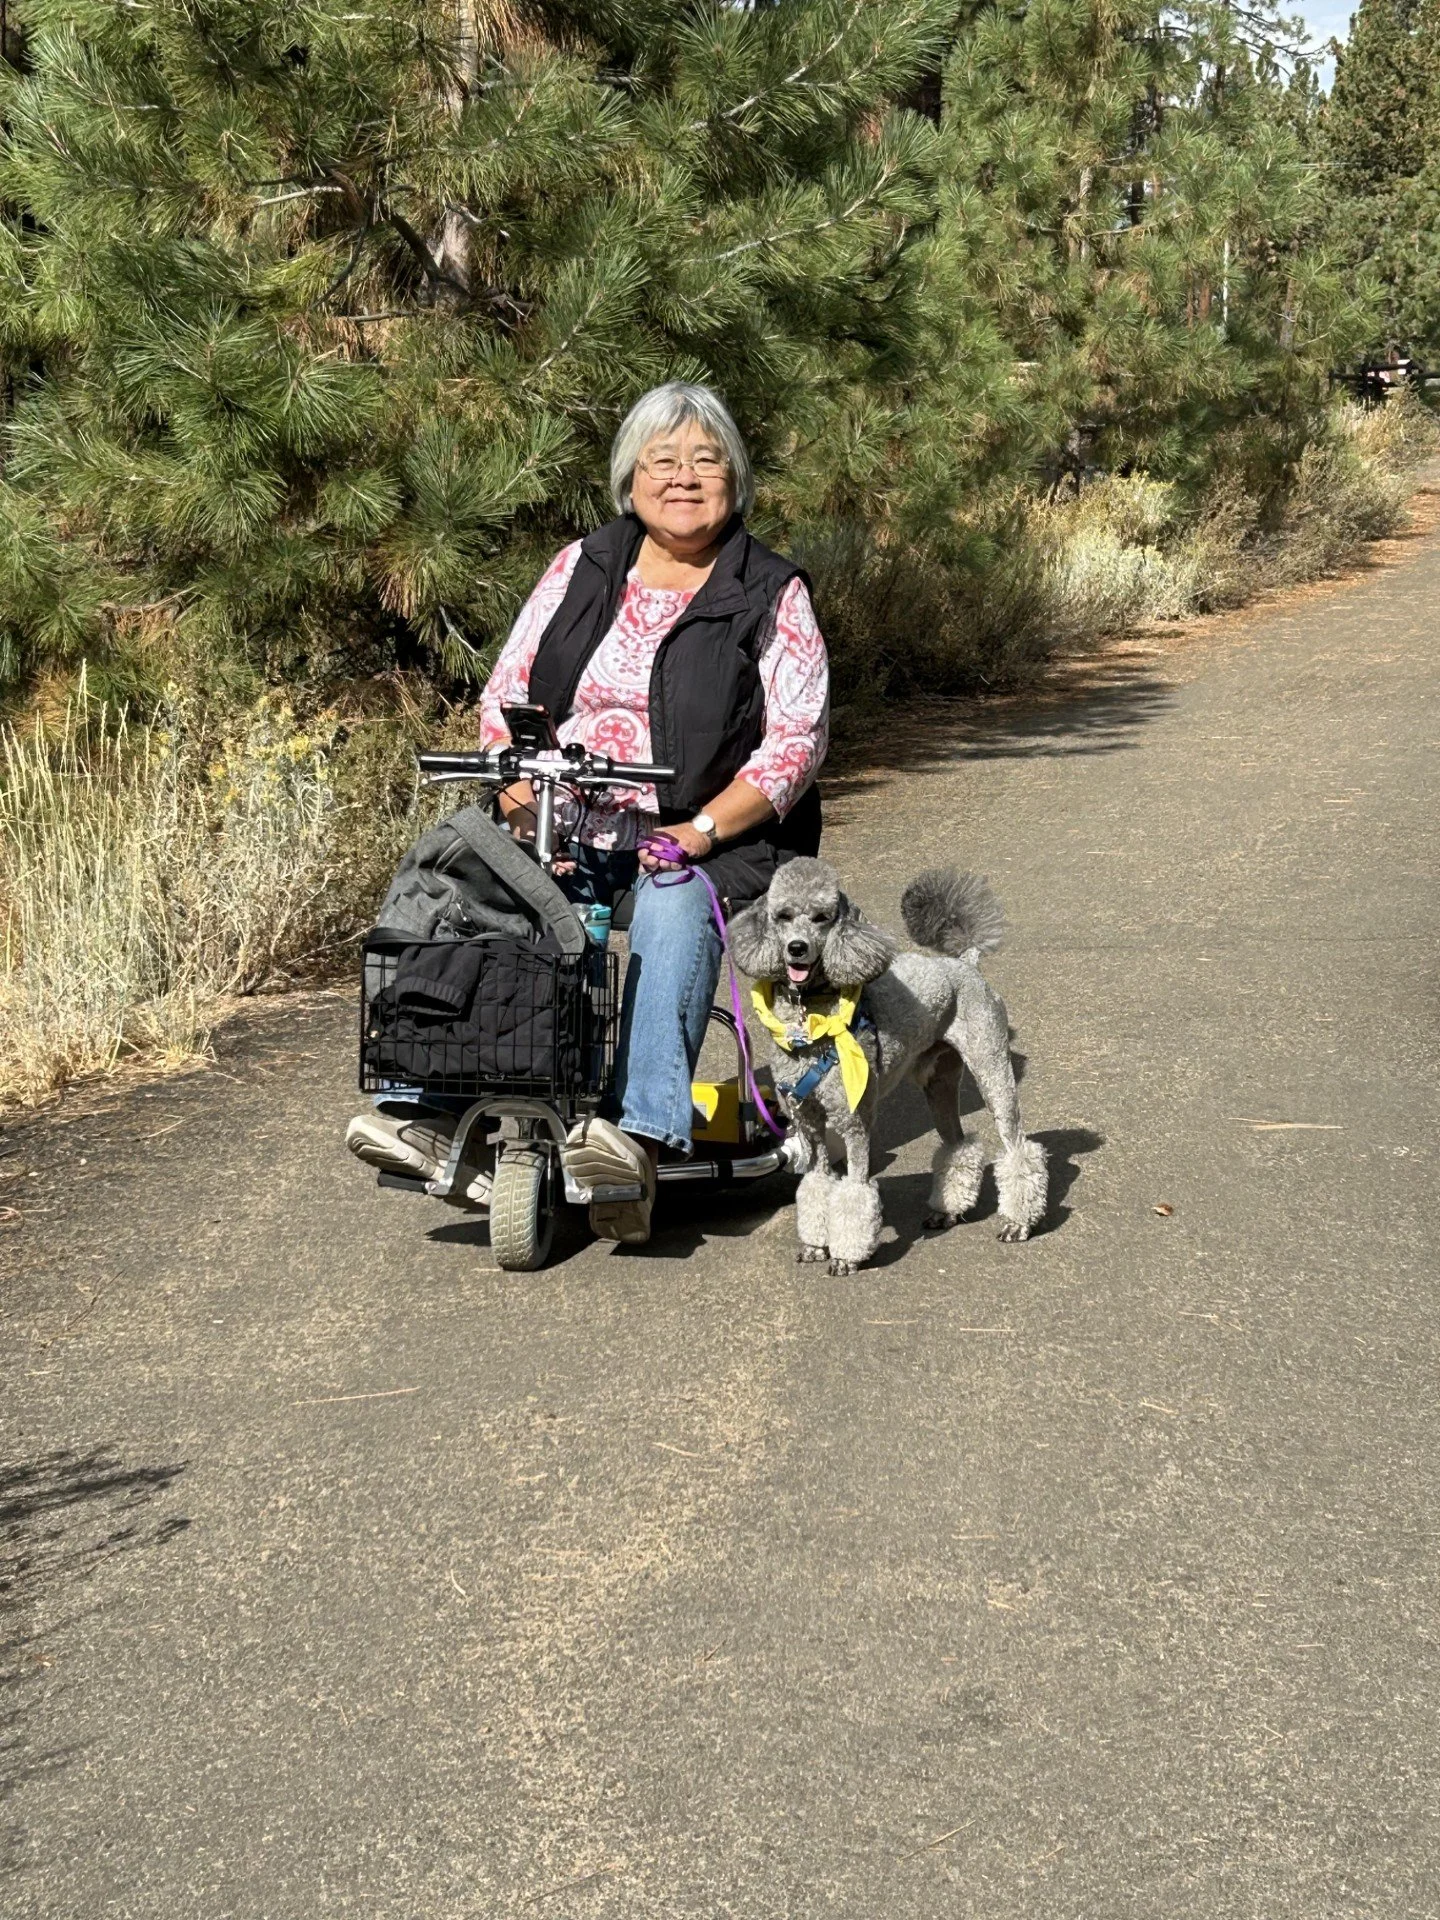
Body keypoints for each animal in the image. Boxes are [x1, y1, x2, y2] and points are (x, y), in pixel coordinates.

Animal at [730, 859, 1047, 1274]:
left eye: (822, 918)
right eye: (782, 916)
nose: (796, 948)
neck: (811, 1022)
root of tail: (966, 964)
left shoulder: (854, 1122)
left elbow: (855, 1192)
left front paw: (846, 1257)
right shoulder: (807, 1121)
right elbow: (816, 1185)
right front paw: (815, 1246)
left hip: (992, 1069)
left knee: (1018, 1148)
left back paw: (1018, 1222)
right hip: (939, 1083)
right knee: (957, 1146)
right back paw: (947, 1210)